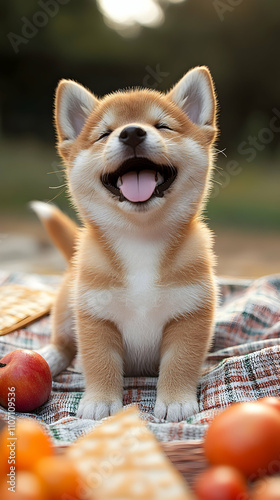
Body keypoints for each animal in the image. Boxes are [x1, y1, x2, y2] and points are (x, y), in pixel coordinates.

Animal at [33, 64, 219, 420]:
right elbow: (100, 363)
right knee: (64, 343)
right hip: (66, 307)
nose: (132, 133)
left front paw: (175, 401)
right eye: (105, 133)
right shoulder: (95, 316)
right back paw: (49, 356)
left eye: (162, 125)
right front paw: (100, 402)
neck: (141, 242)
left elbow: (180, 363)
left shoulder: (189, 315)